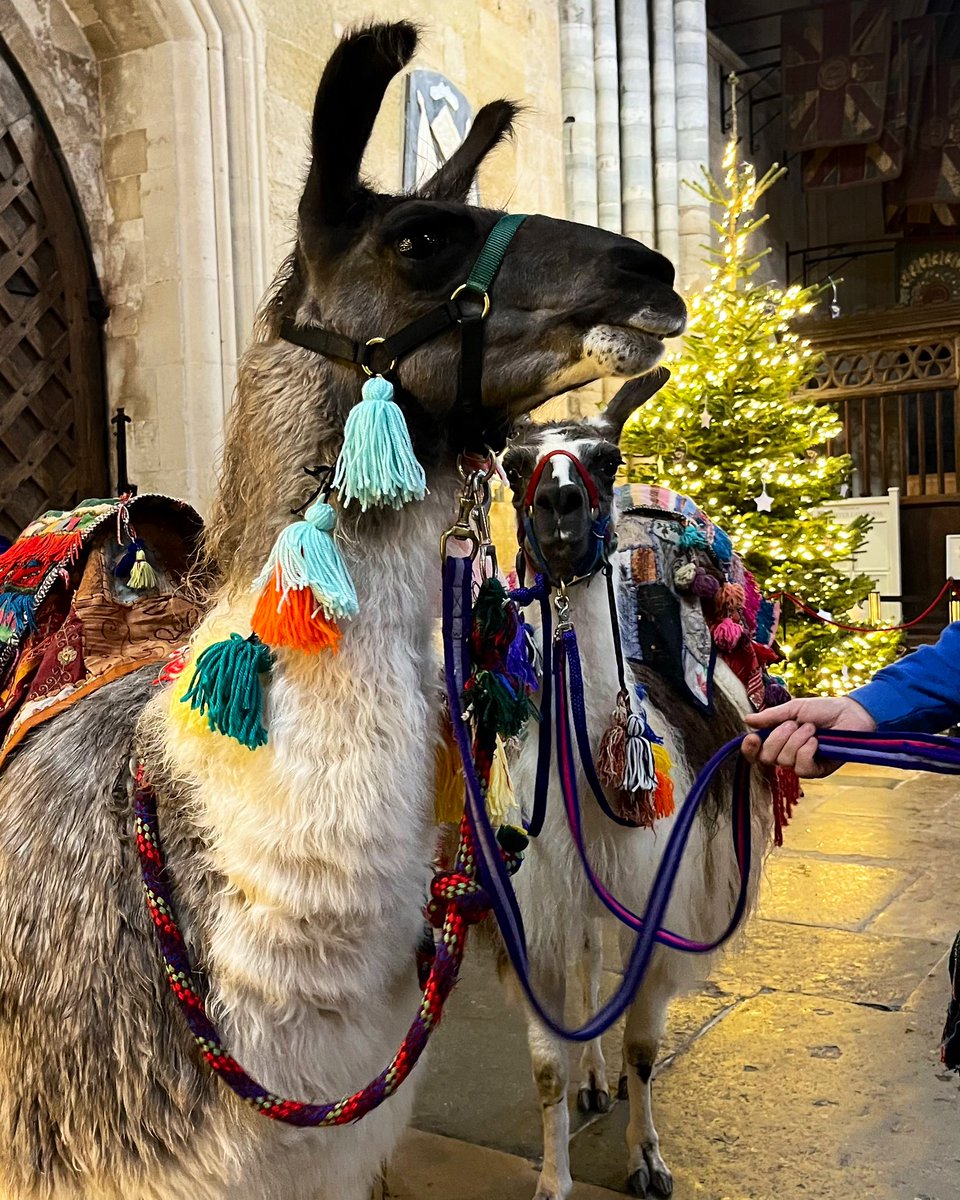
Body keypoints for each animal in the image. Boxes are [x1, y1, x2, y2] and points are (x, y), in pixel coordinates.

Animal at [501, 380, 772, 1200]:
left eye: (606, 455)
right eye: (512, 463)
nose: (558, 503)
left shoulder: (663, 903)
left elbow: (645, 1050)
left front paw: (647, 1160)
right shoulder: (535, 912)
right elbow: (546, 1071)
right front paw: (552, 1179)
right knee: (591, 966)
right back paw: (594, 1077)